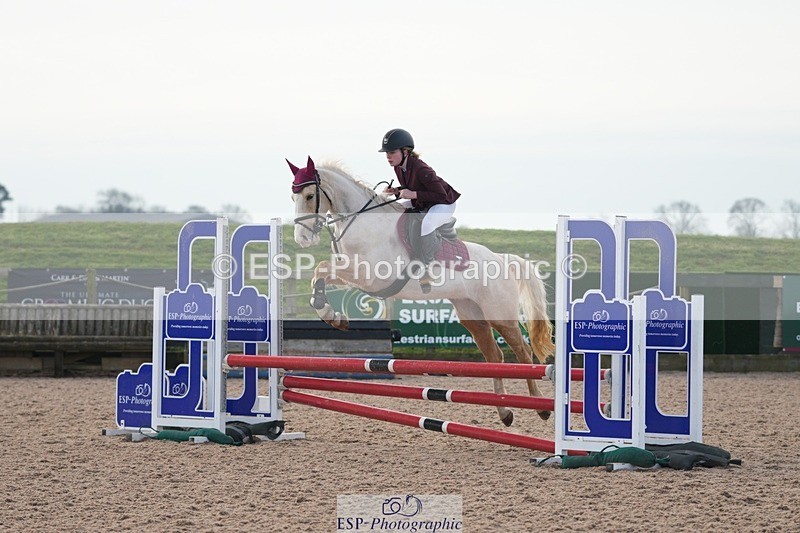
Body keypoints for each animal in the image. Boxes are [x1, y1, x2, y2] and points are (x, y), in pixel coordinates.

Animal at [288, 156, 555, 426]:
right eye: (293, 197)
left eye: (309, 196)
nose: (302, 239)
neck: (362, 222)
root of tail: (502, 259)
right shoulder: (354, 275)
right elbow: (320, 273)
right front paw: (332, 315)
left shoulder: (369, 276)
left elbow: (322, 268)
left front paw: (331, 315)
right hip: (473, 316)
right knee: (494, 357)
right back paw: (505, 412)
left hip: (499, 315)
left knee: (523, 353)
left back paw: (540, 407)